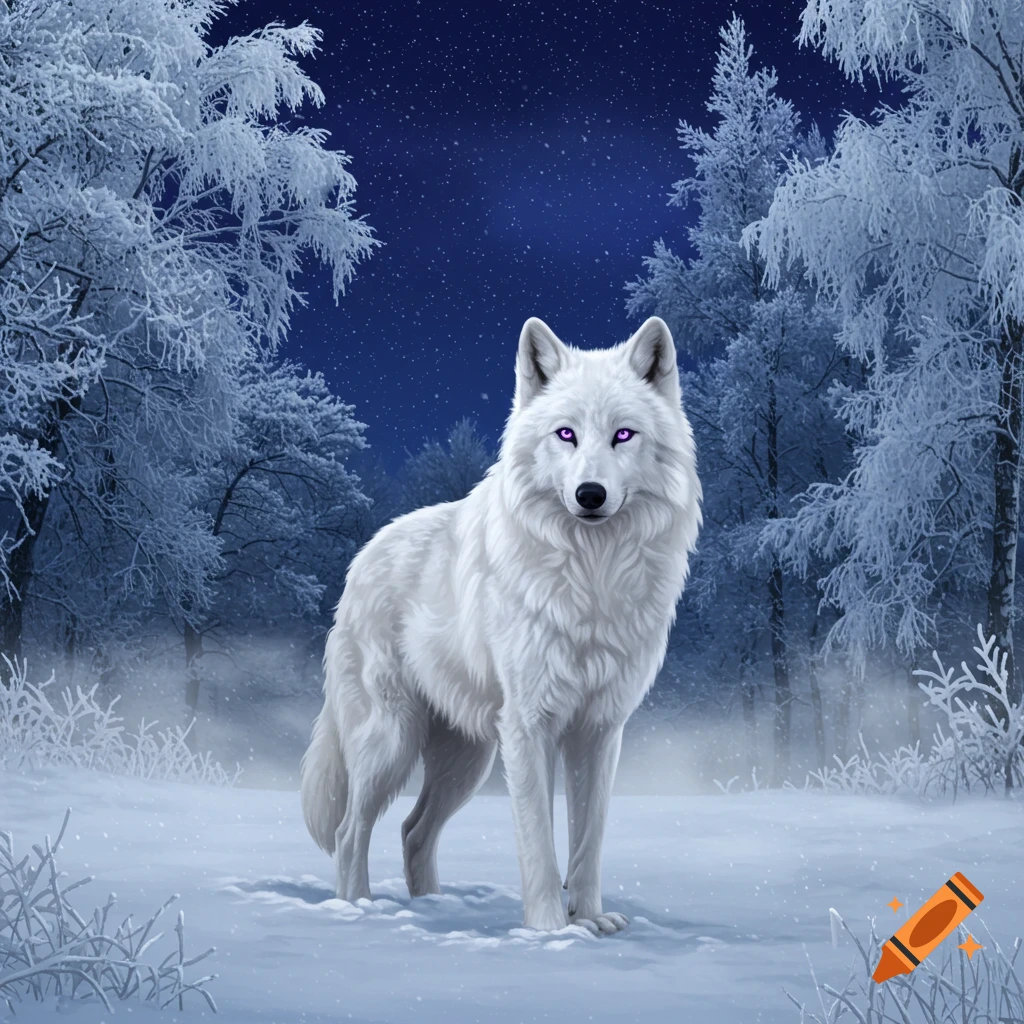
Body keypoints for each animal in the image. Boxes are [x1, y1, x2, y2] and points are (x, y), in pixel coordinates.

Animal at [300, 315, 701, 935]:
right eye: (566, 435)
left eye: (623, 435)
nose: (590, 495)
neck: (591, 575)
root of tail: (363, 556)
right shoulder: (529, 726)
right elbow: (539, 841)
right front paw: (549, 930)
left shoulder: (599, 730)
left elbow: (589, 837)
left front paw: (591, 919)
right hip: (392, 742)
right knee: (350, 832)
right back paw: (360, 911)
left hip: (467, 760)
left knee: (412, 831)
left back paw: (433, 908)